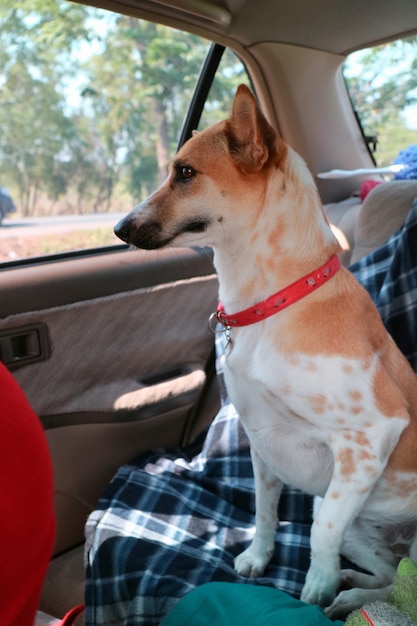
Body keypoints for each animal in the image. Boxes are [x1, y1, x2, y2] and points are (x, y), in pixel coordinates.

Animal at [114, 84, 416, 616]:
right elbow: (265, 510)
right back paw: (350, 589)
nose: (117, 228)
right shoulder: (261, 443)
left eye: (185, 173)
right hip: (362, 531)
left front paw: (315, 588)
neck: (275, 300)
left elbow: (319, 533)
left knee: (386, 575)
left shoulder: (372, 435)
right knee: (387, 578)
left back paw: (338, 593)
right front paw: (259, 556)